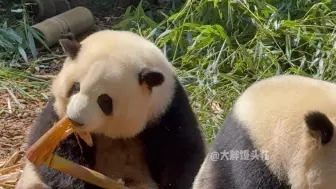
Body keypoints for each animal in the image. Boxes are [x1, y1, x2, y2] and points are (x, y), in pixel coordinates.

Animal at [15, 29, 206, 189]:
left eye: (104, 100)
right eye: (75, 87)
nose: (76, 119)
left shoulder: (167, 109)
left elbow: (183, 153)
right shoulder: (58, 113)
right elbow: (56, 150)